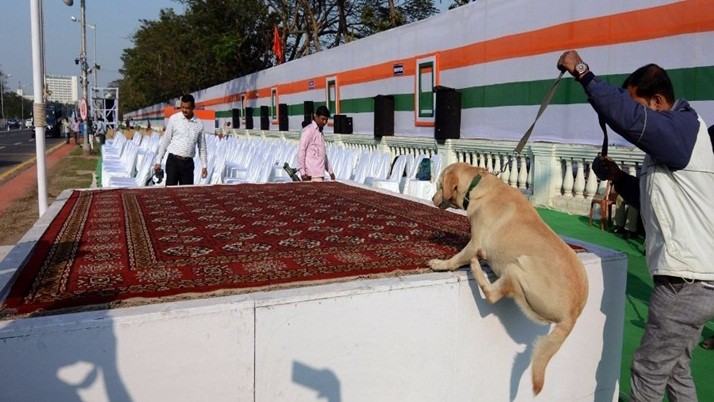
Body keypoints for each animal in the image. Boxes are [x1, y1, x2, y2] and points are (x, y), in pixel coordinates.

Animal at [426, 162, 588, 394]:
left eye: (439, 185)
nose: (431, 198)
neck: (478, 185)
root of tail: (572, 315)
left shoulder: (475, 243)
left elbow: (457, 258)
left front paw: (441, 263)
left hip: (517, 267)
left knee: (492, 293)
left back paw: (476, 266)